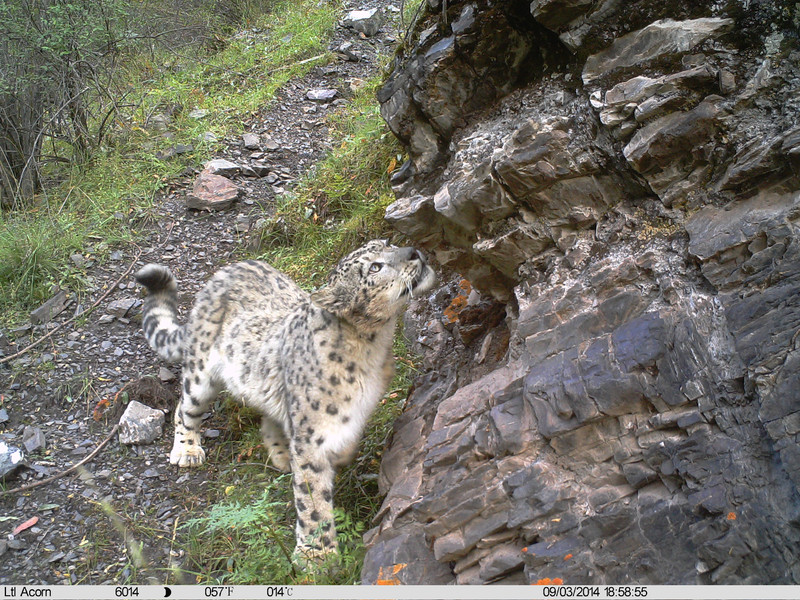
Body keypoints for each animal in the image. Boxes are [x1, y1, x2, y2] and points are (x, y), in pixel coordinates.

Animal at [138, 241, 438, 560]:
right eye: (374, 267)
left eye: (387, 244)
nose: (413, 252)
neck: (372, 349)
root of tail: (222, 273)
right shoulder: (312, 436)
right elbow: (313, 499)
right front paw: (316, 556)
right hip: (201, 374)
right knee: (185, 408)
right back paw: (188, 450)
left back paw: (282, 454)